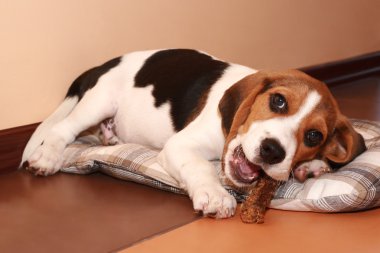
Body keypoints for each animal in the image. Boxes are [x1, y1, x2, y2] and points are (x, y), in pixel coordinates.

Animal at [22, 49, 366, 217]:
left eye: (314, 137)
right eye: (278, 101)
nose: (273, 150)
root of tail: (105, 63)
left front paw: (313, 165)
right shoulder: (181, 144)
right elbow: (201, 167)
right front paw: (215, 195)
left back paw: (111, 137)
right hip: (99, 101)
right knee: (63, 129)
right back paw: (48, 157)